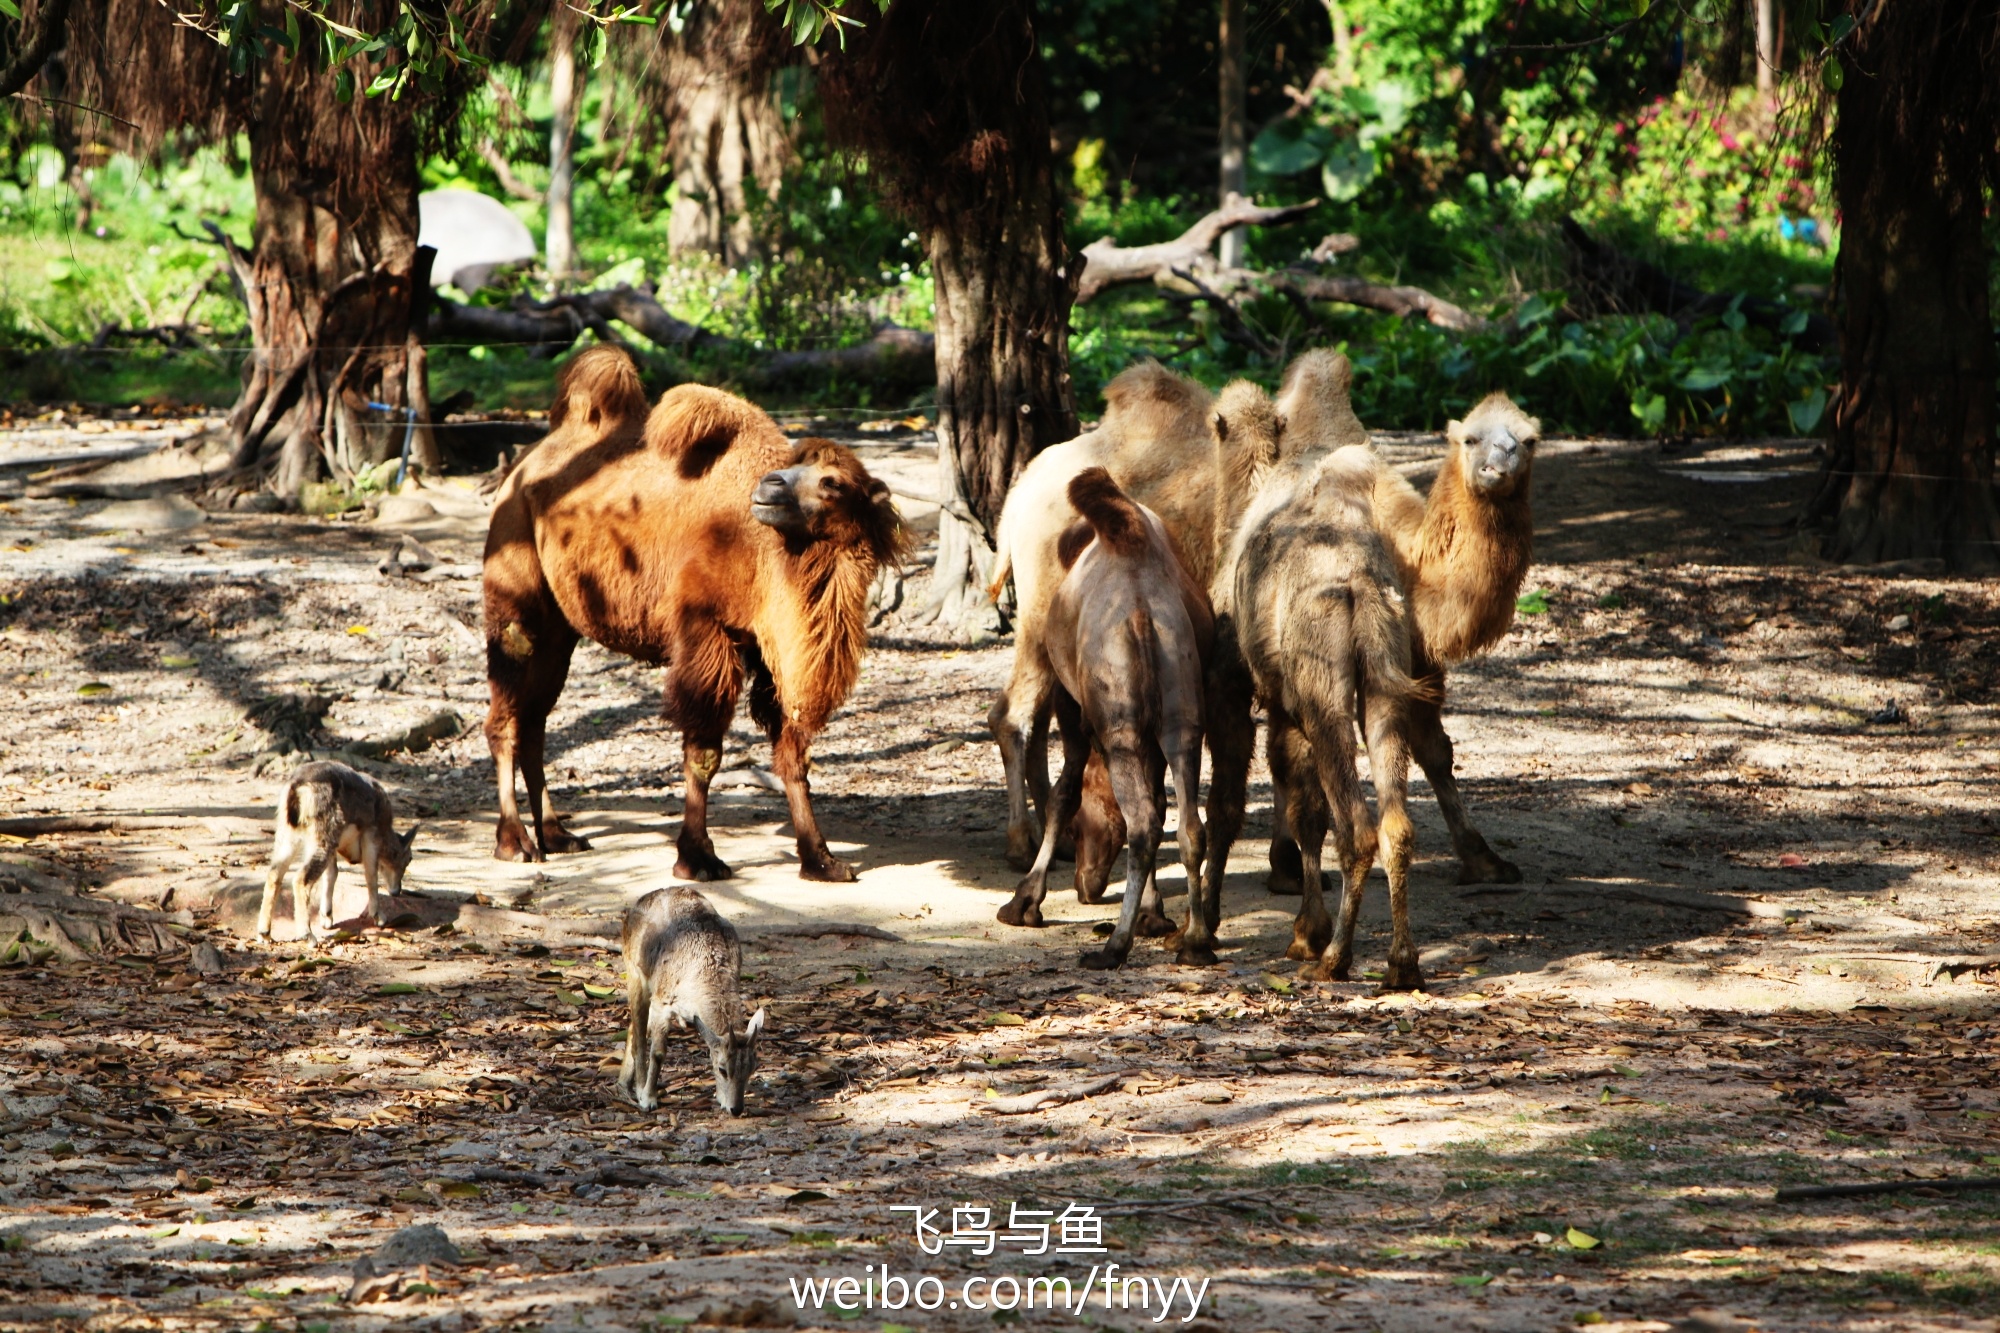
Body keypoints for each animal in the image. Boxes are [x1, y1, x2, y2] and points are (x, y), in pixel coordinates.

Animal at [258, 764, 418, 940]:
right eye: (409, 859)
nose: (397, 891)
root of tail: (296, 787)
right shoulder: (370, 833)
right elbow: (371, 875)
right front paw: (379, 917)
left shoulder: (333, 847)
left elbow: (331, 875)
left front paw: (327, 918)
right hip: (323, 838)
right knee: (301, 879)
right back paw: (307, 935)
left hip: (290, 835)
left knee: (274, 873)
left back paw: (264, 933)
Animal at [480, 348, 904, 876]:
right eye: (794, 469)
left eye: (832, 483)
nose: (769, 485)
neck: (759, 549)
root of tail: (520, 470)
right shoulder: (706, 630)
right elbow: (704, 751)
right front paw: (698, 857)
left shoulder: (771, 648)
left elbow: (793, 754)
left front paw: (821, 860)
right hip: (513, 594)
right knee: (505, 718)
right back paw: (514, 841)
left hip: (561, 630)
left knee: (534, 720)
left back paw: (557, 835)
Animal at [616, 880, 764, 1112]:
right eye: (722, 1069)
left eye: (752, 1068)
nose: (736, 1109)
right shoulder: (662, 1001)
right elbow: (658, 1052)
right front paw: (648, 1098)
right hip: (635, 973)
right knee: (638, 1033)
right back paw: (635, 1089)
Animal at [992, 466, 1208, 964]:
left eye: (1082, 830)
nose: (1085, 885)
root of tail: (1142, 609)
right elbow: (1159, 802)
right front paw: (1154, 913)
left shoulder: (1074, 710)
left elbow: (1064, 794)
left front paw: (1025, 901)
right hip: (1181, 717)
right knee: (1187, 824)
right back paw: (1196, 941)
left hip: (1118, 724)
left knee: (1144, 822)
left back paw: (1114, 945)